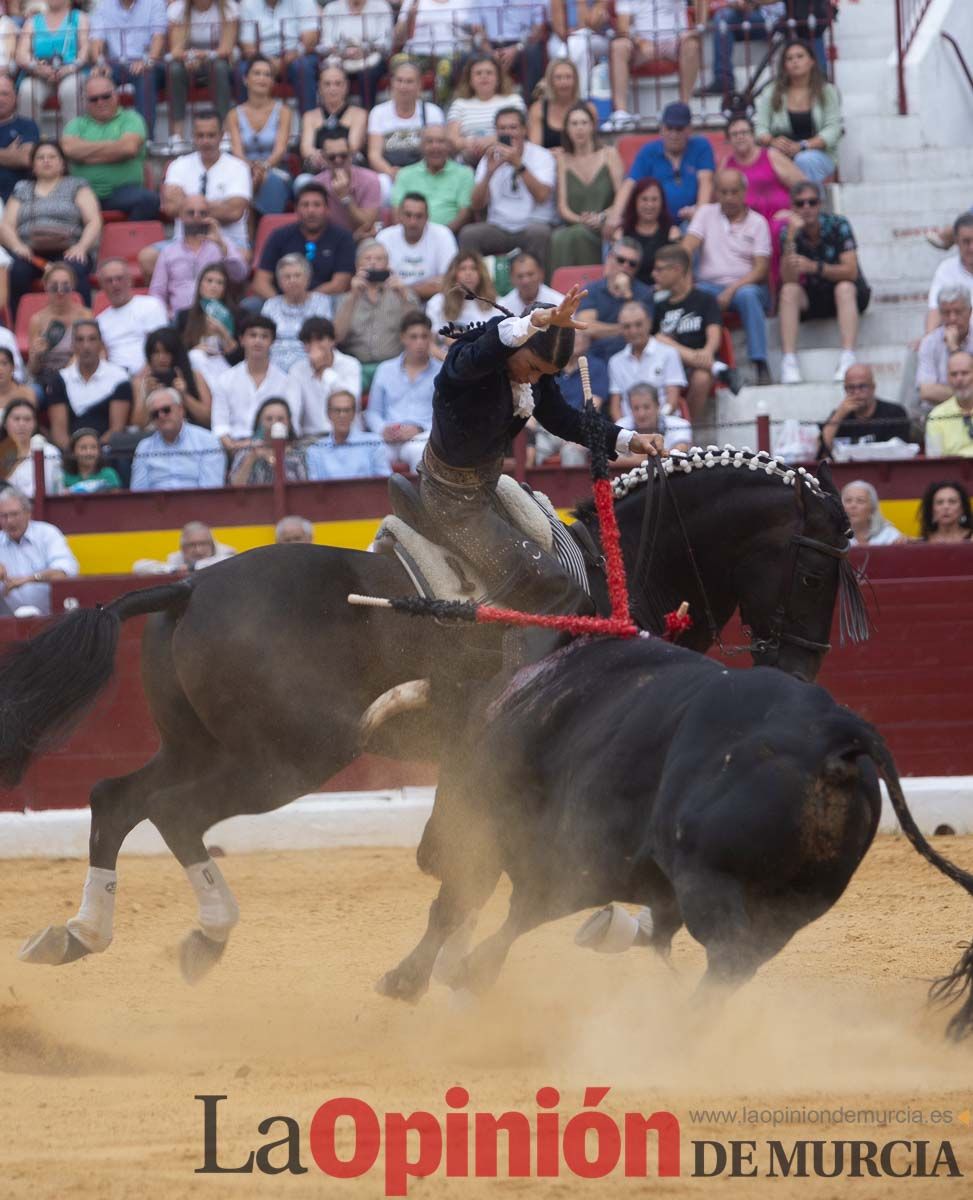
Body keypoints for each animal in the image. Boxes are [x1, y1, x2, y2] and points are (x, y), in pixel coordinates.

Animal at [0, 448, 863, 974]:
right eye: (815, 571)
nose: (796, 668)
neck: (623, 573)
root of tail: (189, 585)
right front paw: (601, 926)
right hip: (288, 759)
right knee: (174, 811)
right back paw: (201, 935)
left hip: (204, 744)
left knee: (119, 798)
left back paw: (79, 933)